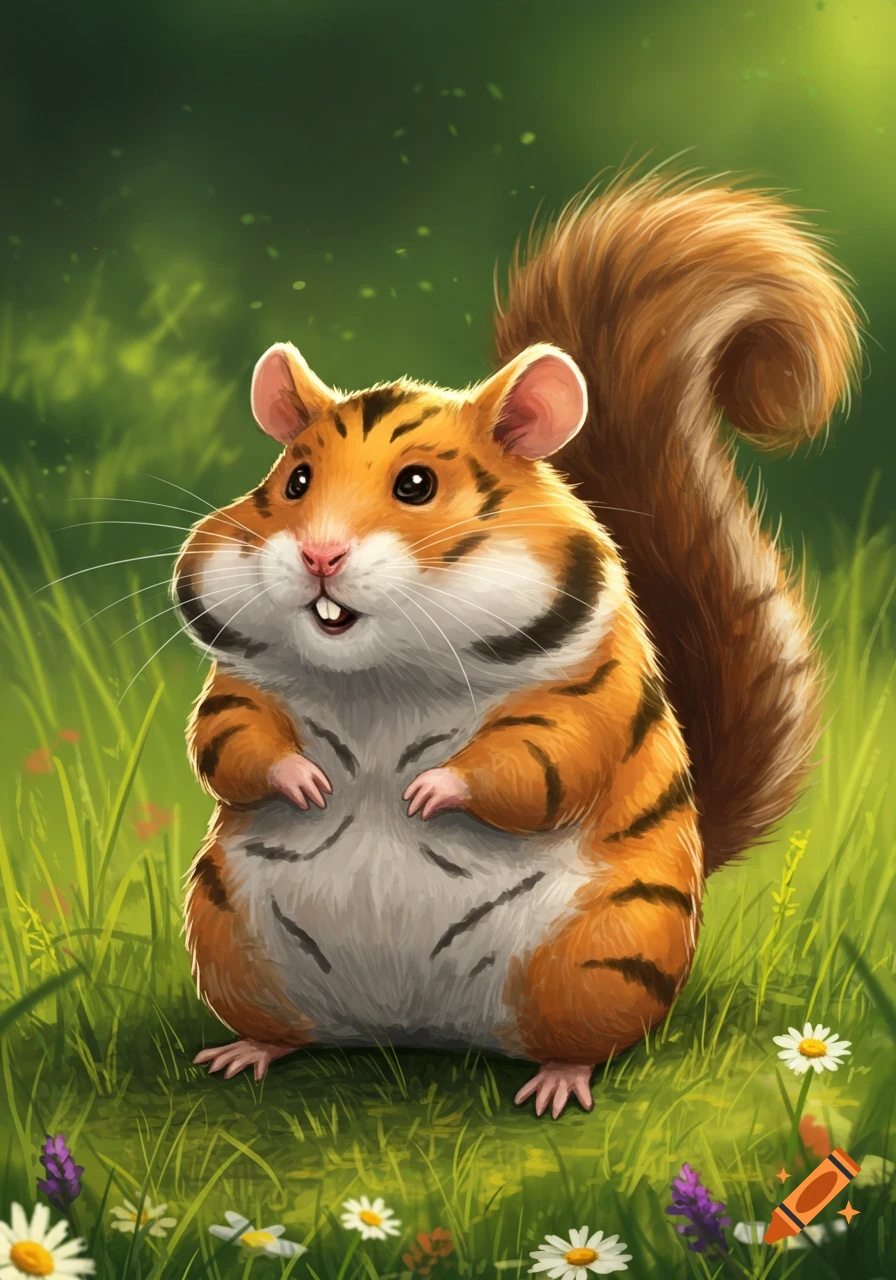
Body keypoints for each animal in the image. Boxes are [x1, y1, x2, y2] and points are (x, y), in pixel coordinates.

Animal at [176, 172, 859, 1118]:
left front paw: (431, 790)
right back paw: (249, 1049)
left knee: (582, 1034)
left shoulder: (584, 694)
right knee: (280, 1022)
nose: (319, 554)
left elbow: (543, 762)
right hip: (227, 935)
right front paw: (302, 779)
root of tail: (410, 1030)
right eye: (293, 481)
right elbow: (228, 740)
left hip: (601, 951)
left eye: (417, 484)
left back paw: (559, 1081)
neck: (383, 675)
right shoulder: (242, 685)